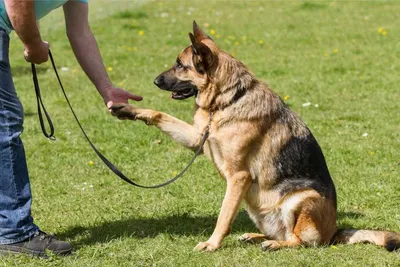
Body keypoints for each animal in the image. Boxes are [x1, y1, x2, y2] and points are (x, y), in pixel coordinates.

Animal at [111, 21, 398, 253]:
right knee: (282, 233)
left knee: (302, 241)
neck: (227, 101)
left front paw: (212, 244)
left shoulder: (238, 177)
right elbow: (160, 114)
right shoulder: (197, 139)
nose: (155, 80)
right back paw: (256, 237)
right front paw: (128, 110)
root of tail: (334, 232)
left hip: (299, 199)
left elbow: (224, 215)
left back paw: (274, 245)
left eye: (180, 65)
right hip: (256, 206)